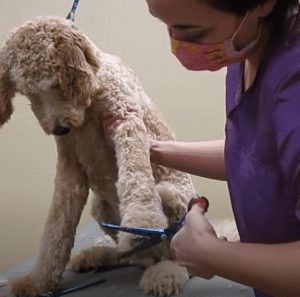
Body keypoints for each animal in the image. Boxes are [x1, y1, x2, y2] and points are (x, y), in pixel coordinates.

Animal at [0, 16, 199, 296]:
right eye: (27, 92)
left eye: (55, 83)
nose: (59, 128)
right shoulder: (70, 168)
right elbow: (56, 227)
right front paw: (37, 280)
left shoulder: (125, 122)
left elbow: (136, 176)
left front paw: (142, 221)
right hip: (100, 206)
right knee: (134, 256)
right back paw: (98, 256)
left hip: (170, 195)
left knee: (180, 256)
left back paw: (166, 273)